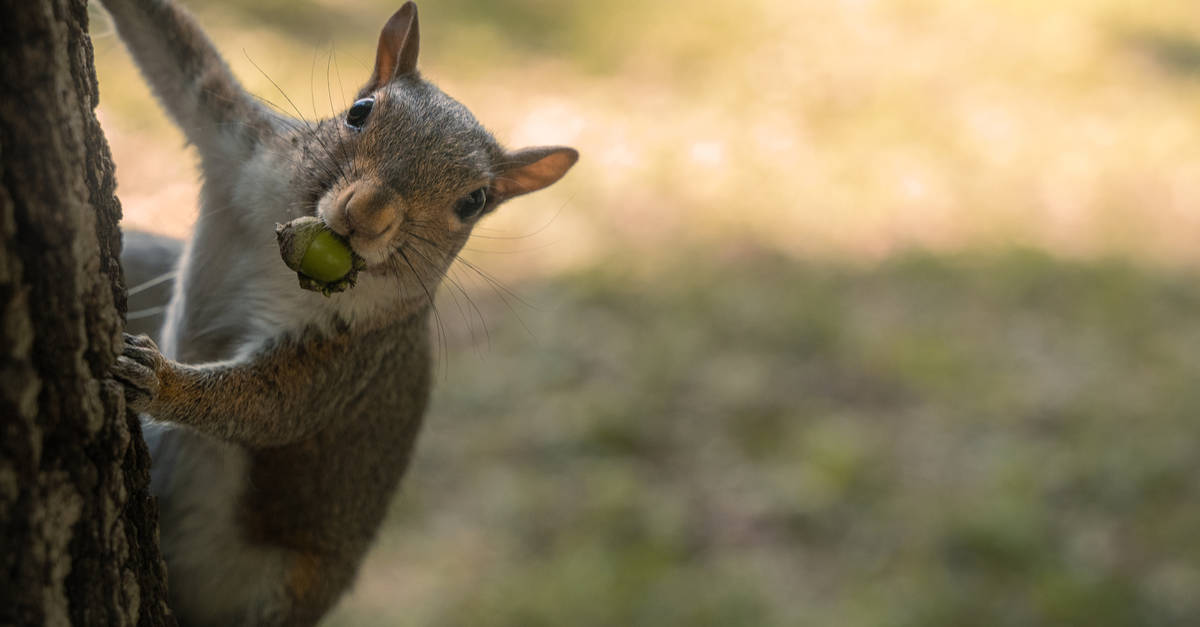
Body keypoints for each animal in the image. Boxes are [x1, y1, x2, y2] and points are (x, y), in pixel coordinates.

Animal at [103, 2, 576, 619]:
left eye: (474, 201)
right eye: (359, 112)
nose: (366, 213)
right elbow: (177, 55)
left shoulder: (356, 348)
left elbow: (276, 405)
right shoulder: (245, 143)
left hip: (284, 591)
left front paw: (159, 380)